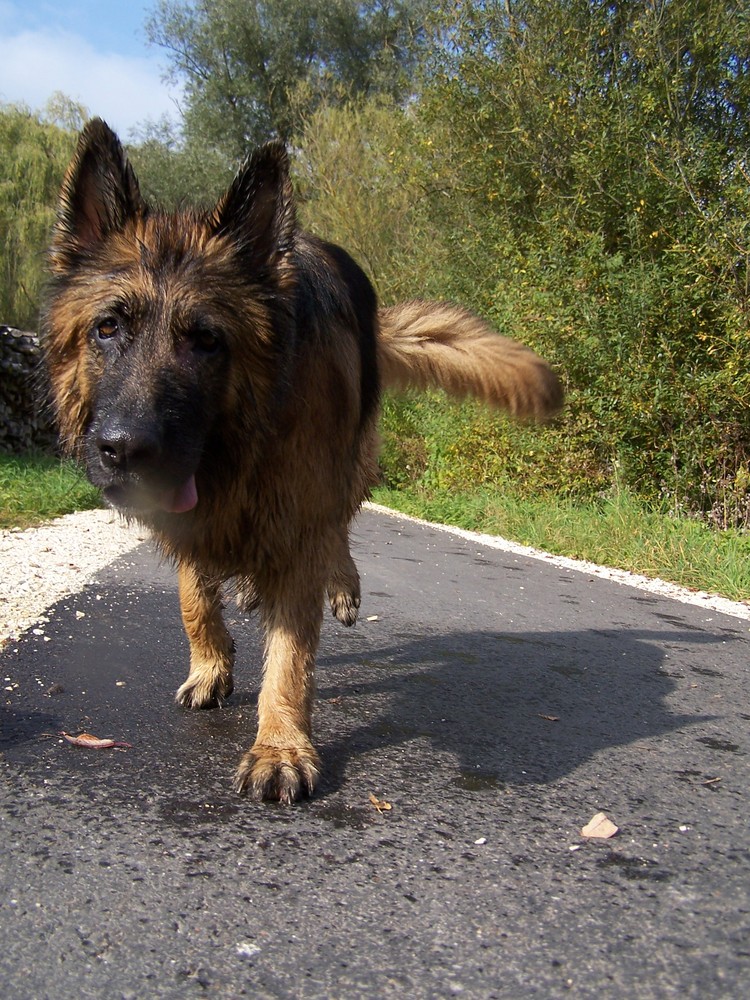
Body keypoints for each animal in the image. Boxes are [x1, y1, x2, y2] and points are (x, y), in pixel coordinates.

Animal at [42, 119, 564, 804]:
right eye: (107, 328)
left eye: (206, 340)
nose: (125, 450)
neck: (240, 452)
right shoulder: (193, 514)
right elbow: (192, 594)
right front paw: (211, 664)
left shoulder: (296, 519)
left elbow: (289, 659)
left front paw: (281, 747)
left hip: (347, 465)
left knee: (339, 524)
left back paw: (339, 583)